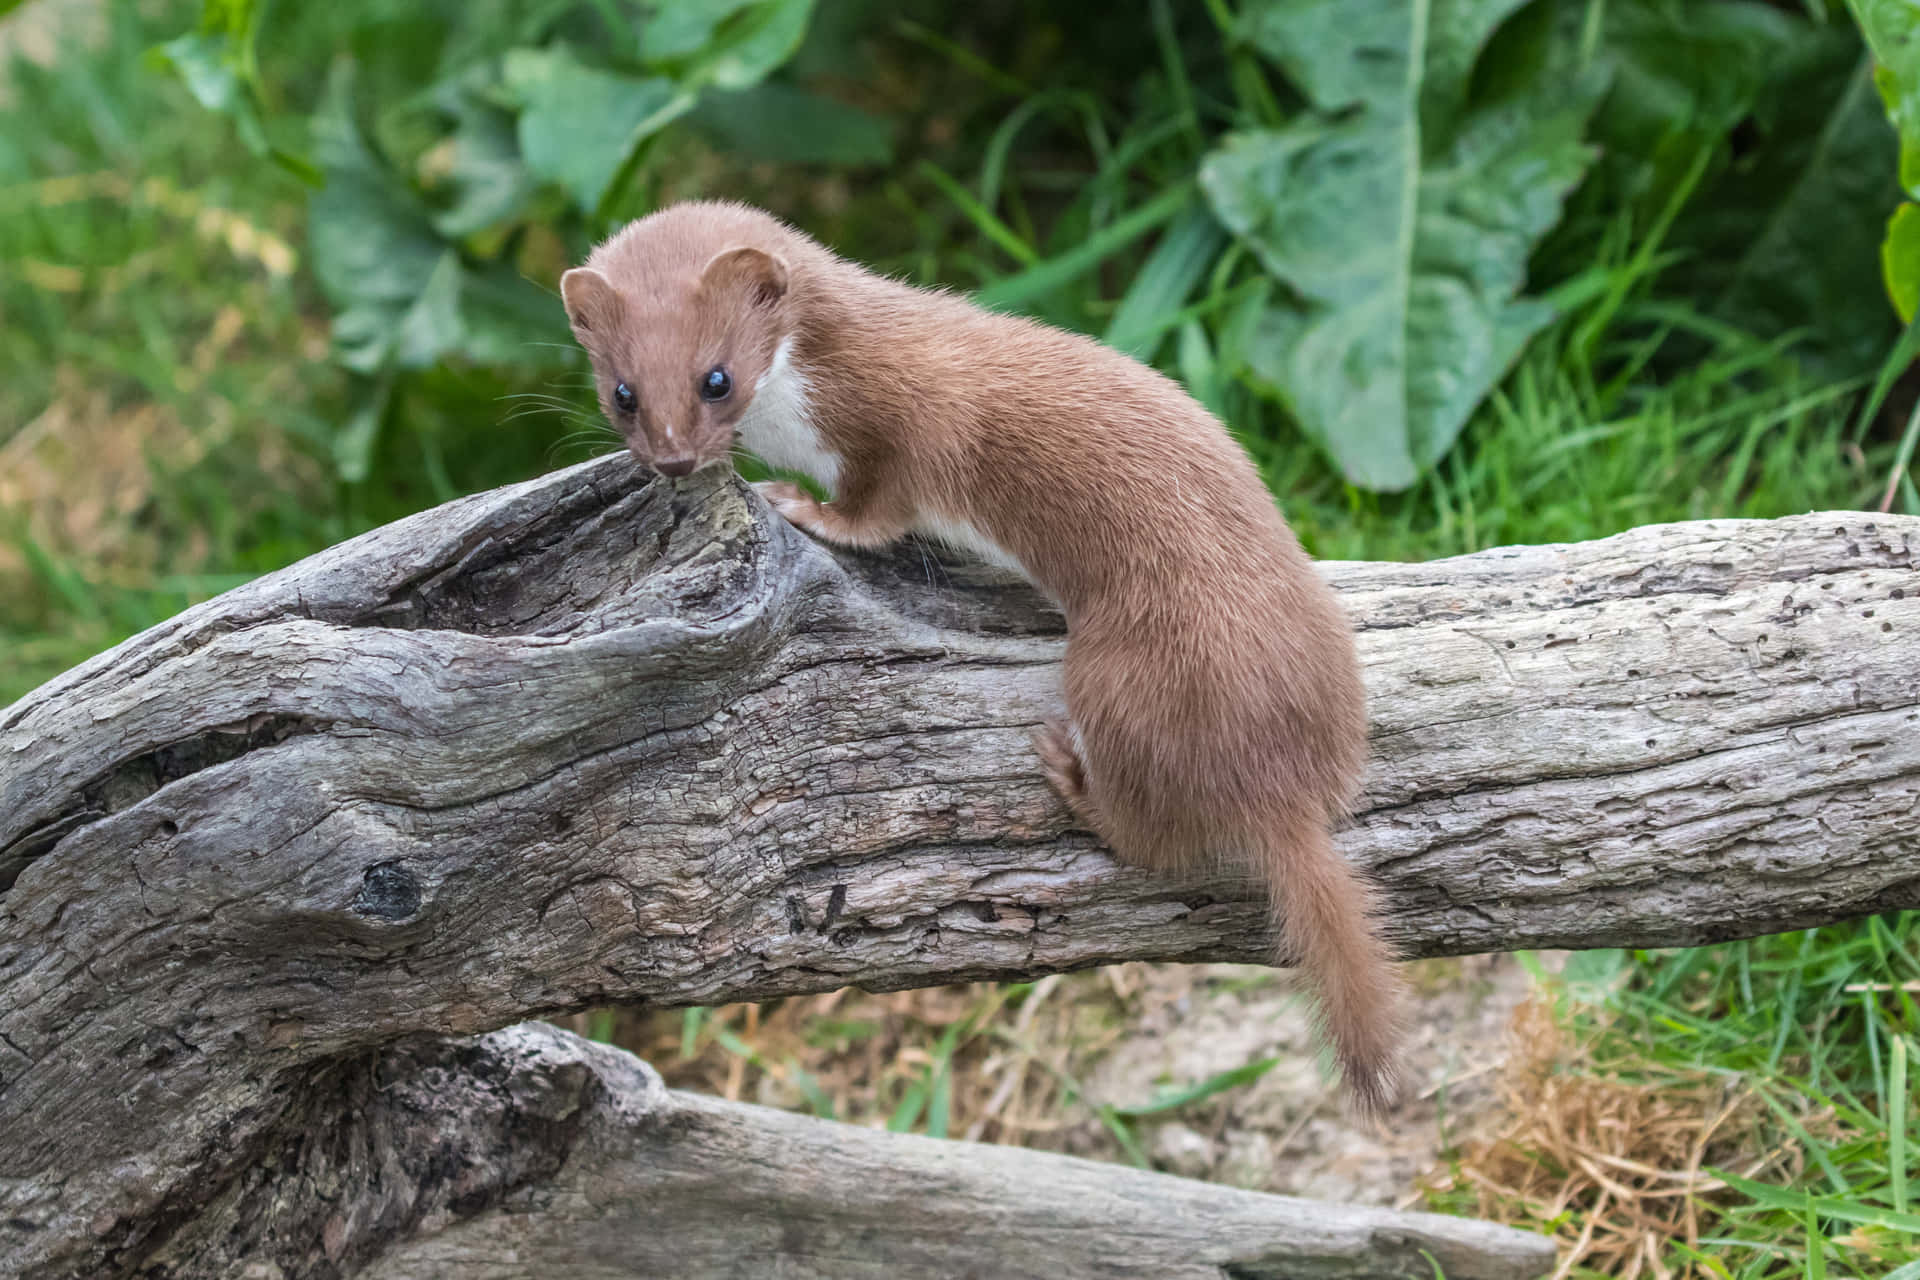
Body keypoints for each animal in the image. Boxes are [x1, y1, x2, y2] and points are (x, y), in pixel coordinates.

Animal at [560, 200, 1405, 1113]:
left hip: (1117, 674)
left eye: (716, 377)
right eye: (622, 392)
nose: (674, 457)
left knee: (1150, 838)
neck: (804, 409)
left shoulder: (905, 431)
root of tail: (1281, 783)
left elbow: (879, 508)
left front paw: (804, 507)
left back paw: (1068, 772)